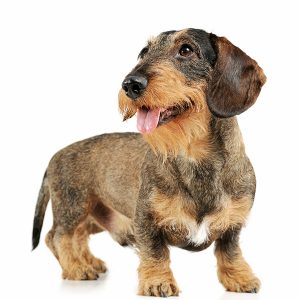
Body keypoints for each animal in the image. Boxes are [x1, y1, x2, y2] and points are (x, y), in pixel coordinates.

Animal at [32, 29, 268, 296]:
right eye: (144, 52)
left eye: (186, 50)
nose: (130, 85)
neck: (194, 157)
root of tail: (55, 155)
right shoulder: (146, 219)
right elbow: (155, 252)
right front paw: (158, 282)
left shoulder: (233, 223)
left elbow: (229, 251)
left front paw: (239, 277)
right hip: (73, 207)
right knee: (58, 236)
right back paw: (75, 267)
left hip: (92, 214)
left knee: (77, 235)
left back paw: (87, 262)